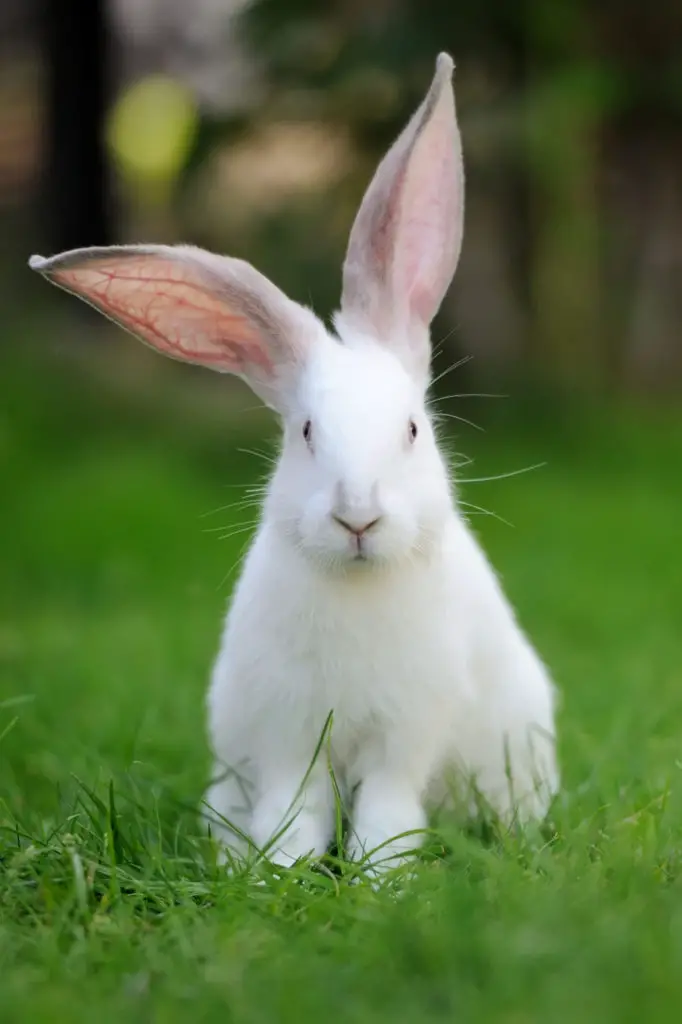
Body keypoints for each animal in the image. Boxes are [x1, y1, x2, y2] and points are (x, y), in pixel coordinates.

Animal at [27, 54, 557, 872]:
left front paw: (378, 879)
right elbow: (295, 811)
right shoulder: (287, 737)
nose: (357, 516)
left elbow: (386, 813)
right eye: (306, 433)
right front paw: (277, 872)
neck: (358, 586)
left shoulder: (405, 737)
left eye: (412, 429)